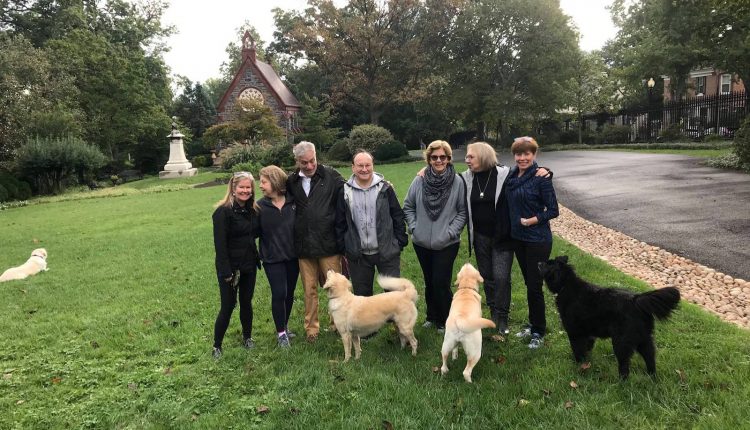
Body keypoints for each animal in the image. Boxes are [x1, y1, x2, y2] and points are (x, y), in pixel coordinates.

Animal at [538, 256, 680, 379]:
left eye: (548, 264)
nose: (538, 262)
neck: (566, 285)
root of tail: (637, 300)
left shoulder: (575, 332)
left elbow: (578, 350)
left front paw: (578, 365)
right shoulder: (589, 334)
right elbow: (587, 349)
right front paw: (586, 363)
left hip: (621, 342)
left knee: (625, 367)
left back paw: (621, 383)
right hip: (644, 339)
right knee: (650, 358)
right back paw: (651, 377)